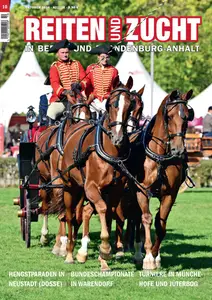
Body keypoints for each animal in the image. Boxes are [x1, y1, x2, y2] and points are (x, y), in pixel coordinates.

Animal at [133, 89, 195, 270]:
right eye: (169, 116)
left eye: (187, 116)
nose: (178, 150)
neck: (160, 155)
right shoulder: (141, 191)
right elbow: (146, 219)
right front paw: (148, 258)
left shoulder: (169, 194)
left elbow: (161, 224)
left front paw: (155, 254)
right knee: (136, 219)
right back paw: (138, 253)